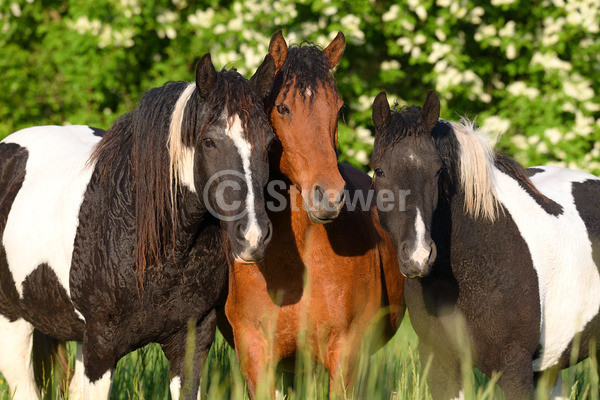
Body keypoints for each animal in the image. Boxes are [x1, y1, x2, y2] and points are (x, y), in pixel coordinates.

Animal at [0, 51, 276, 398]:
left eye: (270, 142)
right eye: (209, 141)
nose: (253, 236)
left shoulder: (192, 341)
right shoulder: (100, 350)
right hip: (13, 326)